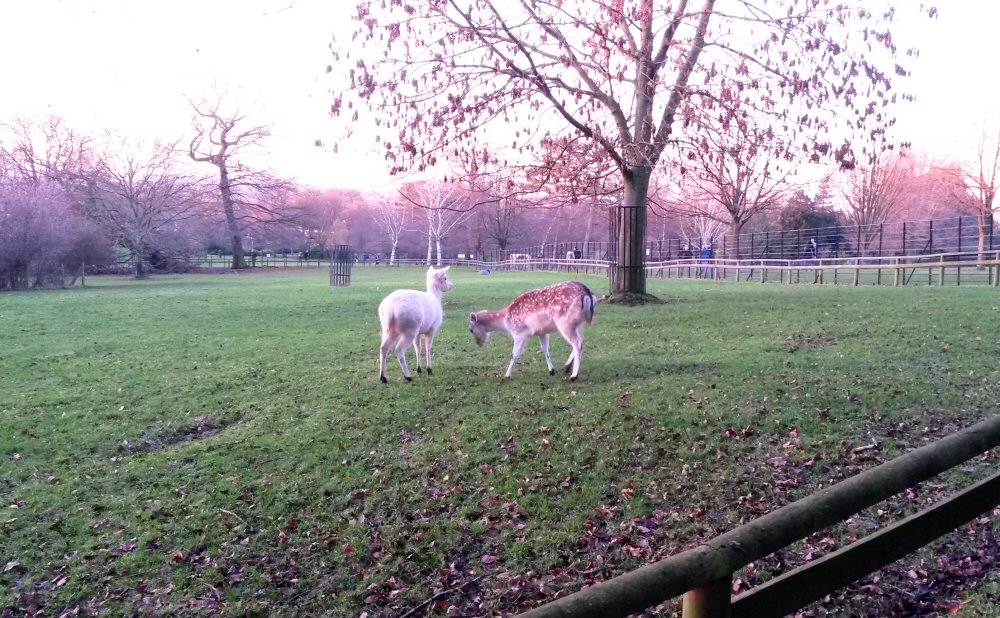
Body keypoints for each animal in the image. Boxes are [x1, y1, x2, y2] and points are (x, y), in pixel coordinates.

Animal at [468, 281, 597, 381]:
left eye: (470, 330)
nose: (478, 343)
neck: (506, 321)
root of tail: (587, 293)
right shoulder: (542, 332)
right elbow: (545, 349)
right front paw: (551, 370)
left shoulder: (519, 333)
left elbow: (515, 354)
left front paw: (507, 376)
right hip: (579, 323)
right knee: (582, 340)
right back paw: (567, 367)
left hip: (565, 322)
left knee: (577, 343)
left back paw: (573, 376)